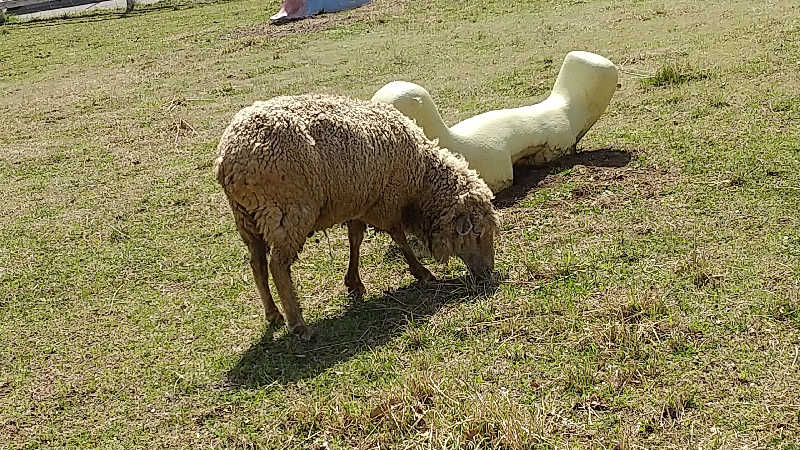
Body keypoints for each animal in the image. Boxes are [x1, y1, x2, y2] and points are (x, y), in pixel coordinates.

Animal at [216, 96, 496, 342]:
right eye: (477, 233)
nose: (488, 273)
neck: (422, 179)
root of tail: (228, 157)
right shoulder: (386, 201)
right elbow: (400, 238)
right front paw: (421, 272)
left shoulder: (360, 202)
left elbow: (355, 240)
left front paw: (353, 282)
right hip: (288, 212)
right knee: (277, 266)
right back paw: (298, 324)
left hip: (248, 219)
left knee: (257, 264)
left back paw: (273, 313)